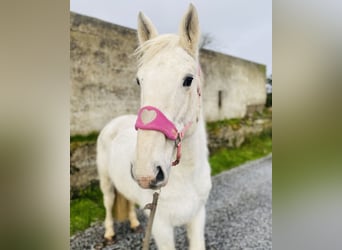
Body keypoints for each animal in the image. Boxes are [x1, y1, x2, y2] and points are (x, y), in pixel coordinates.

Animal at [96, 4, 211, 250]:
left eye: (188, 80)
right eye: (139, 80)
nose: (146, 174)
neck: (186, 177)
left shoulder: (198, 217)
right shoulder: (161, 227)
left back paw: (133, 224)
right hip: (106, 182)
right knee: (108, 203)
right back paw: (109, 233)